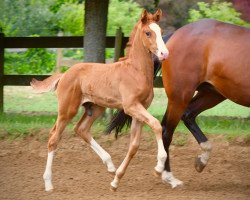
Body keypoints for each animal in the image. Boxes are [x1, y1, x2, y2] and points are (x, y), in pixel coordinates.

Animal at [31, 9, 168, 192]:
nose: (164, 54)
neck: (136, 71)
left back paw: (110, 166)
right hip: (68, 109)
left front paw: (116, 181)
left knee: (81, 129)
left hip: (95, 108)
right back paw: (48, 184)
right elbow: (156, 125)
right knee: (54, 138)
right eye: (148, 33)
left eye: (161, 31)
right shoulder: (131, 107)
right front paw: (159, 167)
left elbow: (134, 145)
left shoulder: (140, 109)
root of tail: (64, 74)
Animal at [106, 18, 250, 188]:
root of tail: (175, 35)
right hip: (181, 96)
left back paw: (200, 160)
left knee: (187, 115)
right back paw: (169, 176)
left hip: (212, 93)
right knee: (167, 130)